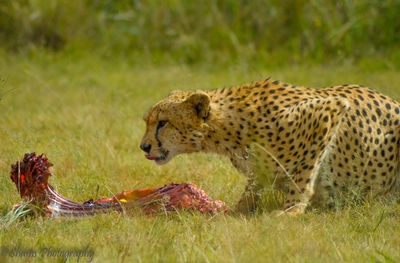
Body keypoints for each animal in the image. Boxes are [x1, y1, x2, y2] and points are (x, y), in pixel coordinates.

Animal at [141, 77, 400, 217]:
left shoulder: (327, 110)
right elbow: (253, 186)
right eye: (147, 121)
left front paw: (291, 211)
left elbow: (303, 175)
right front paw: (236, 213)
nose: (144, 147)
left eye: (163, 123)